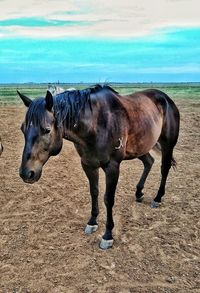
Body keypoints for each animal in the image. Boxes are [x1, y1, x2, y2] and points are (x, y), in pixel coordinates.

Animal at [17, 84, 180, 249]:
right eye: (22, 129)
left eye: (47, 130)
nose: (26, 173)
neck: (96, 125)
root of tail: (165, 98)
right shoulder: (88, 165)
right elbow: (94, 192)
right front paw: (92, 222)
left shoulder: (112, 167)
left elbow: (108, 198)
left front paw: (107, 235)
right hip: (140, 146)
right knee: (149, 162)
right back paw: (139, 193)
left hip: (167, 145)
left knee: (164, 168)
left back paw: (157, 198)